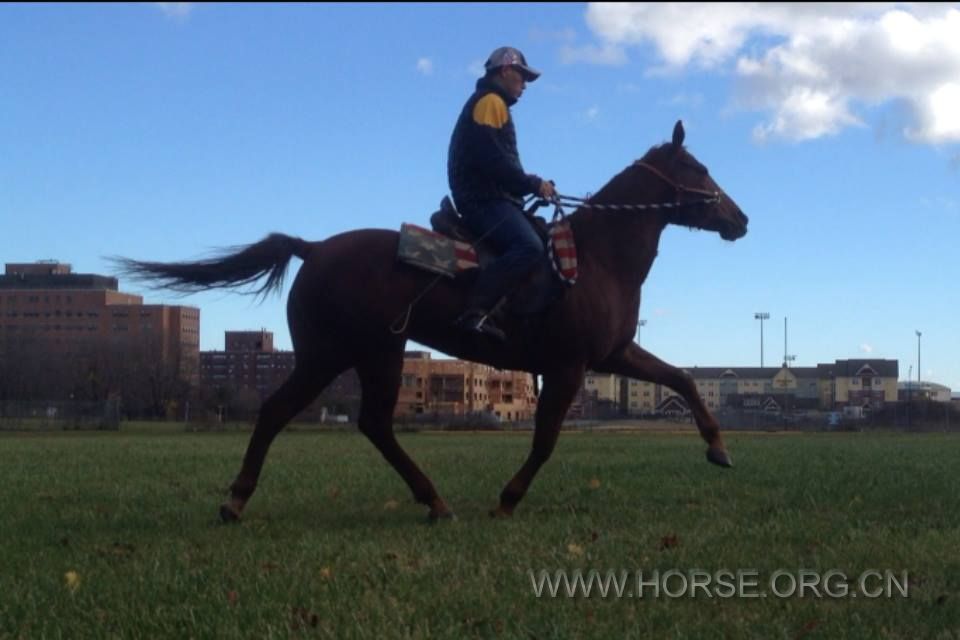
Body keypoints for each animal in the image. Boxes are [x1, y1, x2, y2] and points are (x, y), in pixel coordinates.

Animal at [114, 121, 748, 522]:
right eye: (698, 167)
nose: (739, 218)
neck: (593, 259)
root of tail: (314, 248)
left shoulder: (614, 356)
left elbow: (682, 379)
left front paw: (718, 448)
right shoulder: (568, 368)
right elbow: (544, 441)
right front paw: (507, 499)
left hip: (351, 356)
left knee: (327, 419)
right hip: (357, 354)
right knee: (336, 419)